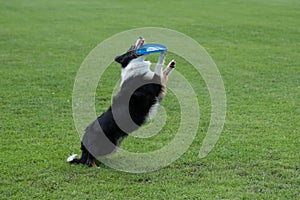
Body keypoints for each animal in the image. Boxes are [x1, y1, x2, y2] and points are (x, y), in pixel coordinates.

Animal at [68, 37, 176, 167]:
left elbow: (163, 72)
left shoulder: (159, 88)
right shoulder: (154, 85)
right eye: (131, 48)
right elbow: (158, 67)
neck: (134, 65)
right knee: (88, 159)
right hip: (105, 145)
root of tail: (84, 141)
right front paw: (163, 53)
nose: (140, 37)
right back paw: (94, 166)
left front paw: (171, 64)